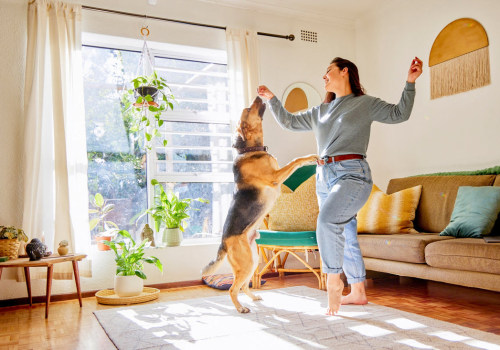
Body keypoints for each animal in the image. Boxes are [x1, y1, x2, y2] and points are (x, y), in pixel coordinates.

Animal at [202, 96, 316, 314]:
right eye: (248, 110)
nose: (258, 95)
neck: (250, 150)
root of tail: (223, 242)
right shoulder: (275, 177)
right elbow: (296, 160)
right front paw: (311, 157)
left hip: (253, 259)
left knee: (244, 286)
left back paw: (254, 298)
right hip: (246, 263)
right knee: (233, 289)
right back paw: (241, 308)